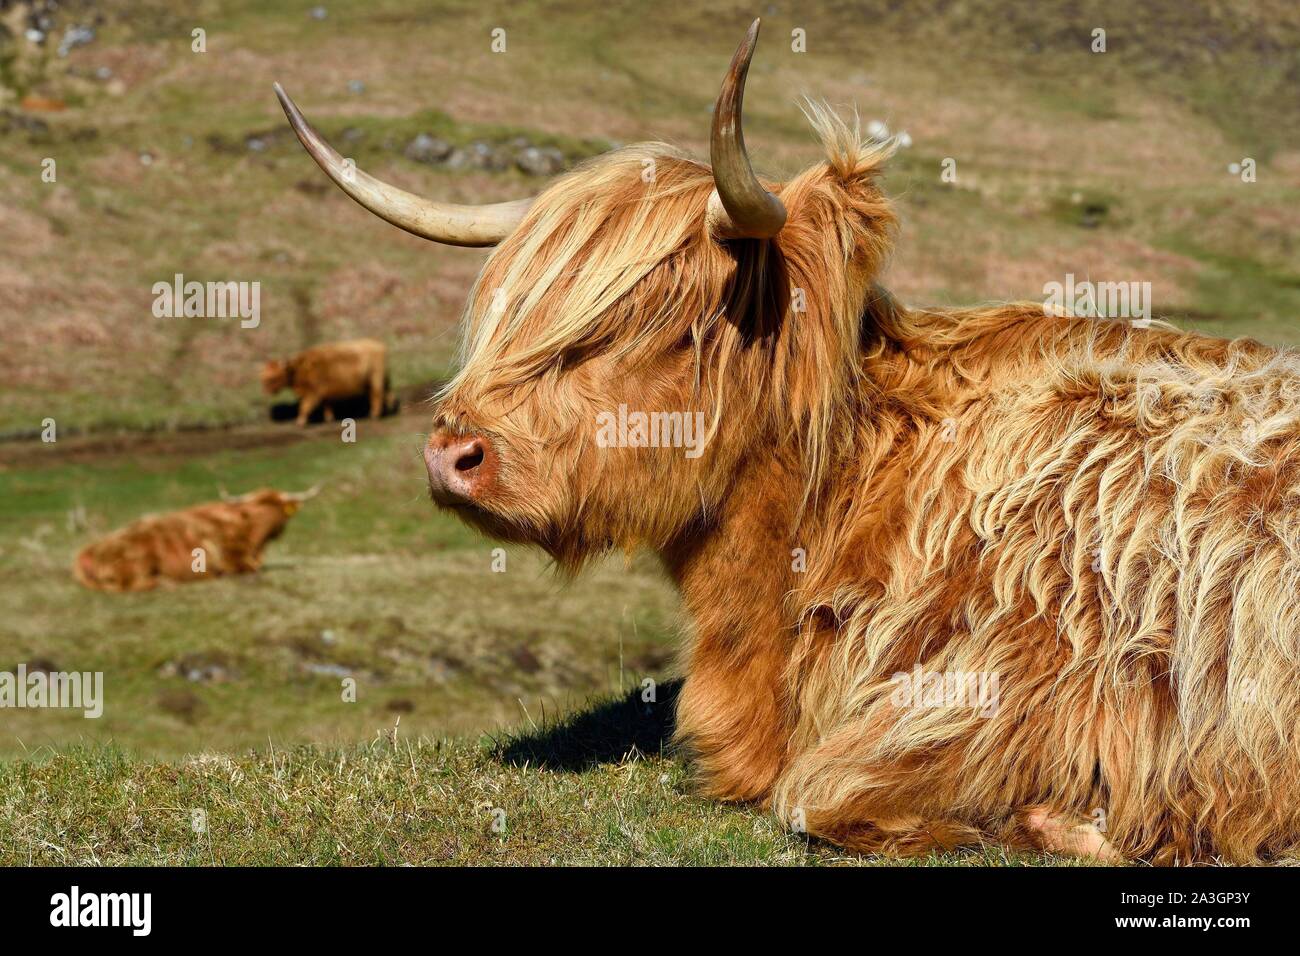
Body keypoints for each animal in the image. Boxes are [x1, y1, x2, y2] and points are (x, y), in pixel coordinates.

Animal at [73, 489, 317, 595]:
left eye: (277, 512)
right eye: (254, 512)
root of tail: (86, 551)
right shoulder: (234, 561)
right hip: (138, 562)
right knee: (133, 585)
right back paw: (166, 583)